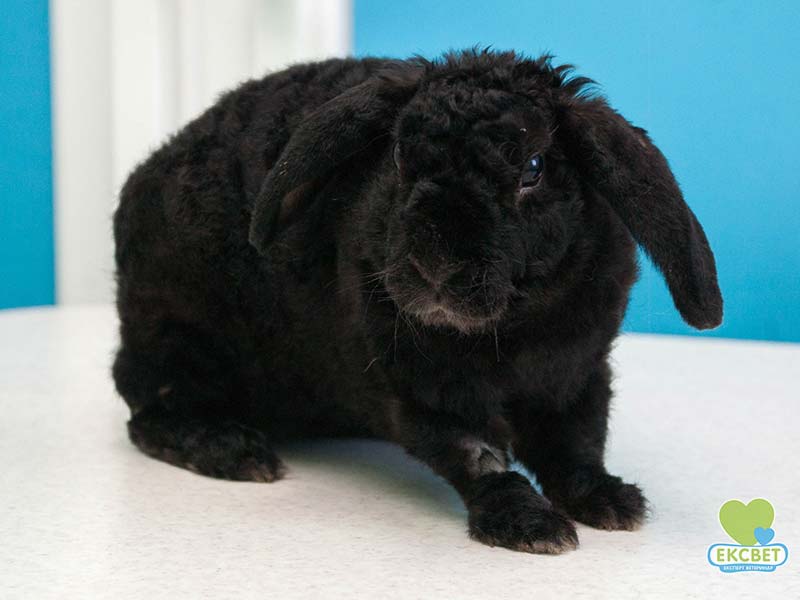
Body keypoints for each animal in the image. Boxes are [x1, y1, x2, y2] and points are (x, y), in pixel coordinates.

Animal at [112, 49, 722, 554]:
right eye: (401, 159)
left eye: (533, 167)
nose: (436, 262)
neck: (507, 331)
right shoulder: (421, 394)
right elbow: (478, 457)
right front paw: (530, 526)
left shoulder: (578, 377)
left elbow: (576, 445)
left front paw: (612, 502)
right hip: (180, 339)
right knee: (149, 411)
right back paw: (235, 450)